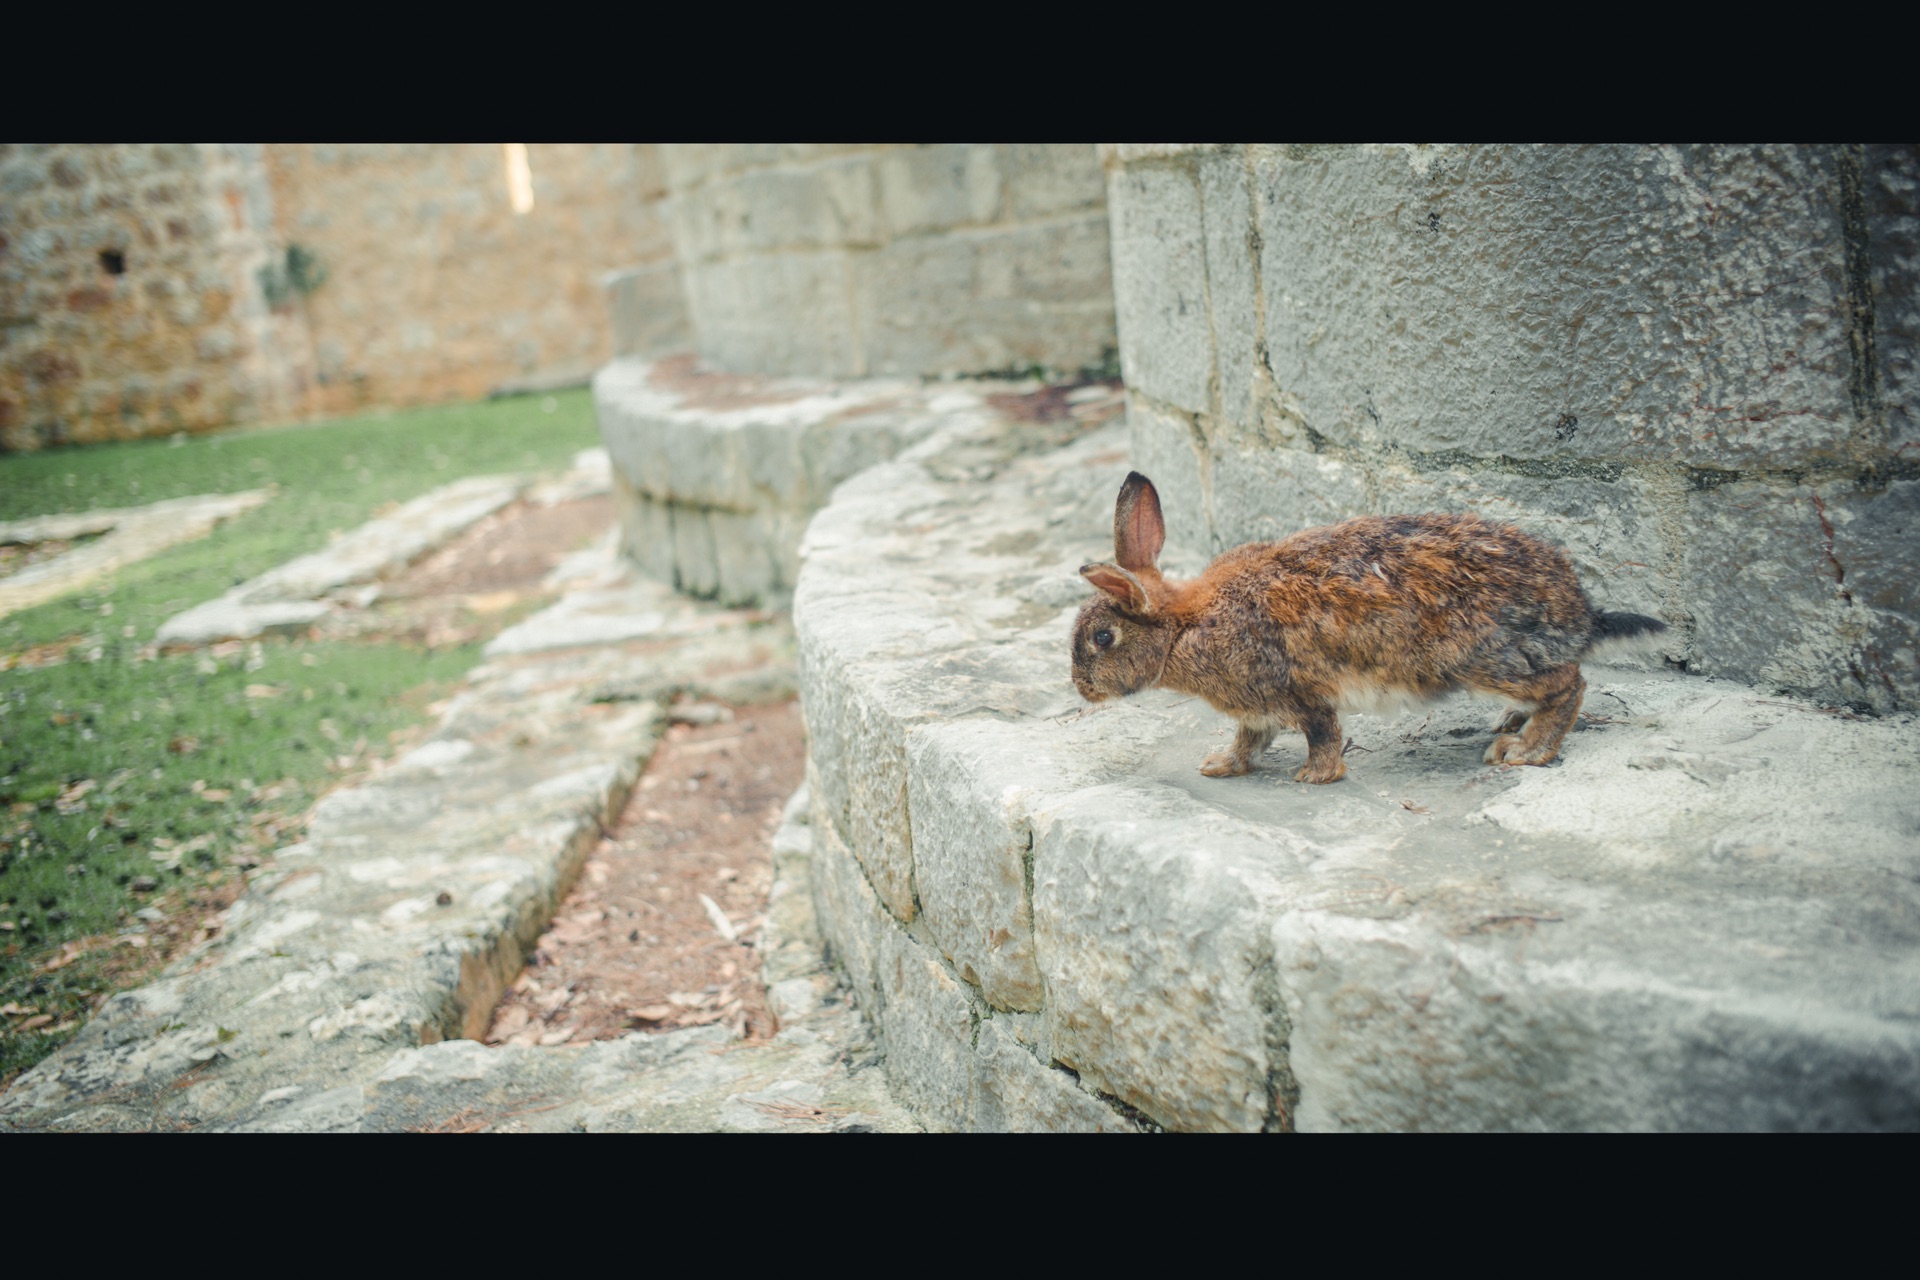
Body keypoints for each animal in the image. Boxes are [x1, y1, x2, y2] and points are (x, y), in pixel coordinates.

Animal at [1075, 474, 1674, 782]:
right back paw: (1510, 724)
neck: (1185, 626)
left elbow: (1322, 733)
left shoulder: (1296, 689)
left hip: (1482, 657)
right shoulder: (1257, 708)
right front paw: (1220, 766)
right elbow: (1250, 739)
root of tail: (1579, 612)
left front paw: (1315, 777)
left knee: (1568, 684)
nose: (1081, 690)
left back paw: (1523, 750)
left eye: (1103, 638)